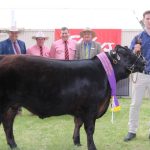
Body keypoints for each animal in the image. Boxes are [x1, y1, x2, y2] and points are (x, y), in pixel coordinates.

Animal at [0, 45, 145, 149]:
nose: (143, 61)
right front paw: (92, 147)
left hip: (12, 106)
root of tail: (5, 57)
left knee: (8, 124)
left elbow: (78, 124)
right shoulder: (90, 108)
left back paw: (13, 145)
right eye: (127, 54)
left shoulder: (80, 109)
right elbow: (90, 129)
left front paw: (77, 142)